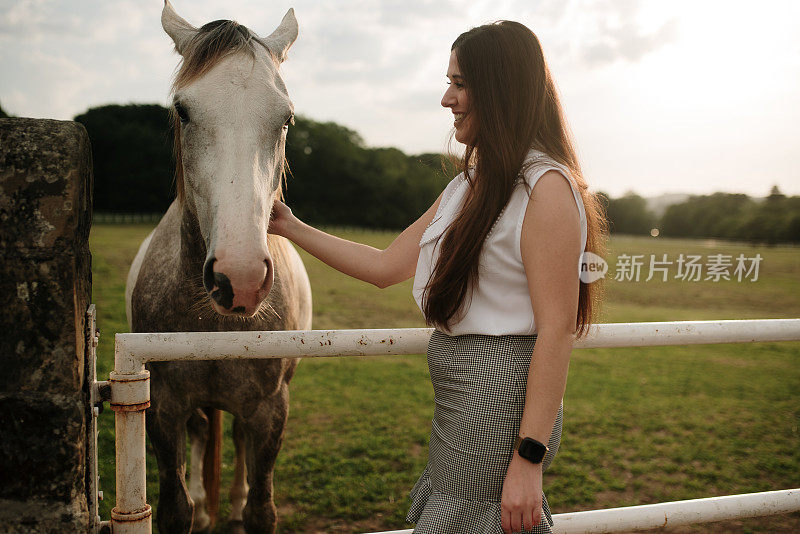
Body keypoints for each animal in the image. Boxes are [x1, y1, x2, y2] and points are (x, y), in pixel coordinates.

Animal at [125, 2, 312, 532]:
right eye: (183, 111)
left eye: (287, 118)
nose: (240, 278)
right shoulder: (163, 405)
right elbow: (174, 508)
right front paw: (196, 503)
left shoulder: (270, 408)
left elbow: (262, 509)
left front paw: (239, 504)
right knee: (204, 429)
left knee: (235, 441)